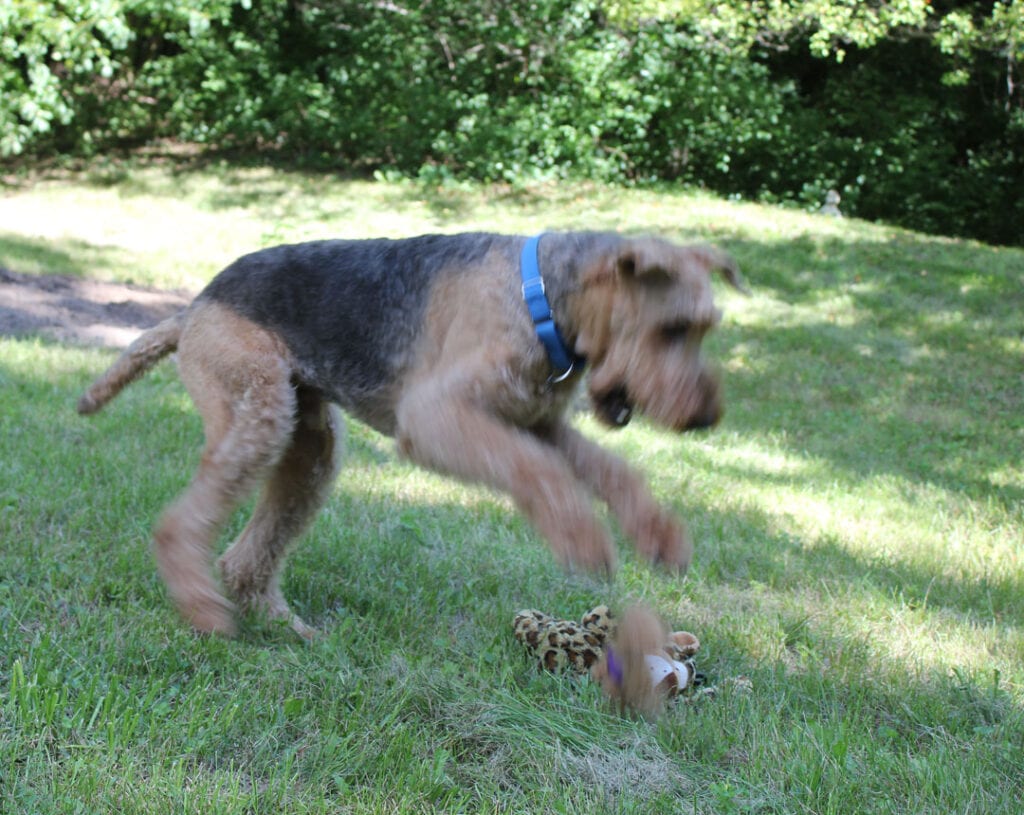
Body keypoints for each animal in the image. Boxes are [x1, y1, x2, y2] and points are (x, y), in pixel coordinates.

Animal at [74, 229, 745, 634]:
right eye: (673, 328)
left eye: (703, 328)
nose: (705, 418)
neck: (542, 298)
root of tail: (193, 307)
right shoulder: (435, 417)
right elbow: (541, 474)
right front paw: (584, 544)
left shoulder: (535, 422)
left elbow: (610, 471)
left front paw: (661, 540)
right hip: (256, 413)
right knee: (179, 525)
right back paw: (204, 612)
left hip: (309, 445)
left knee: (247, 556)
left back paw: (290, 629)